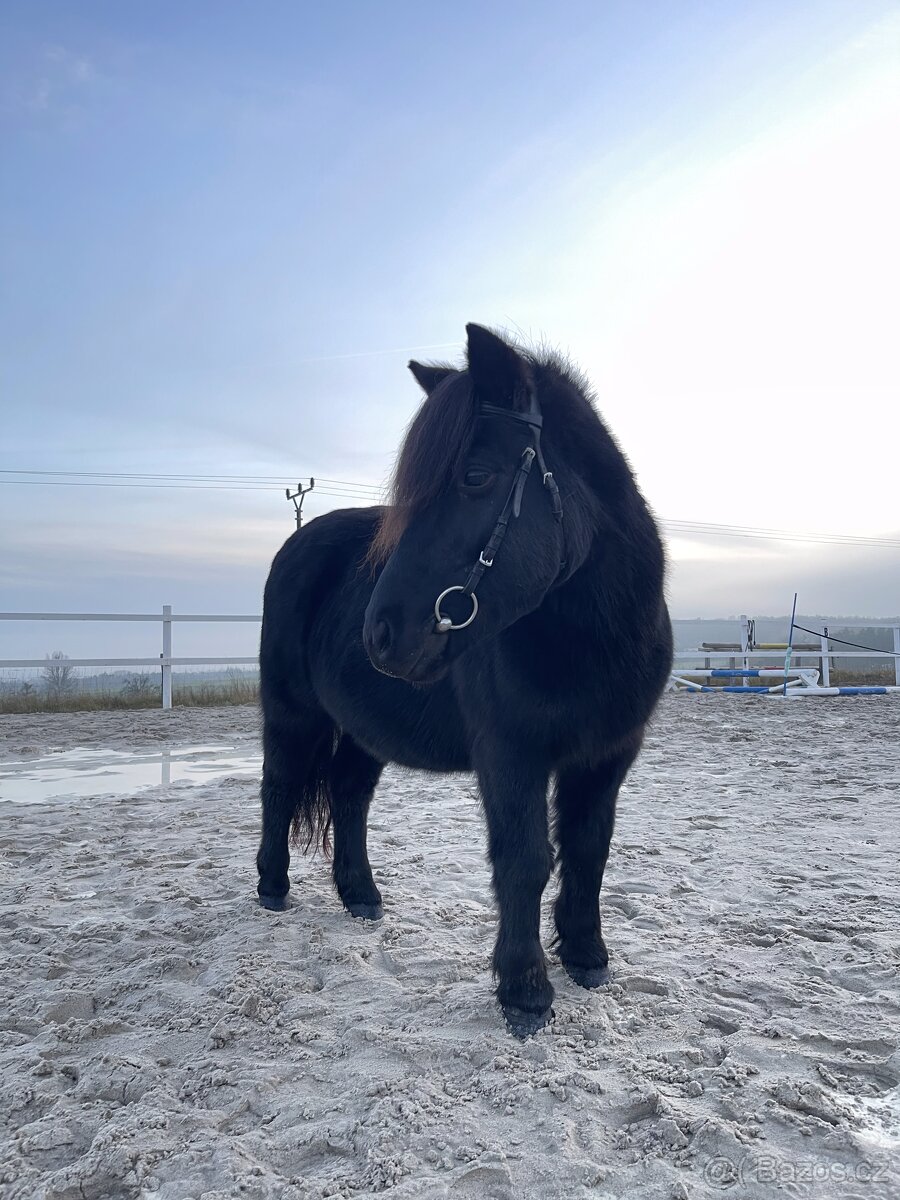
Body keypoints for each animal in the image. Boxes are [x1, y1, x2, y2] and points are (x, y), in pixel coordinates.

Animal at [256, 323, 672, 1036]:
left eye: (476, 477)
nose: (380, 632)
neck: (595, 639)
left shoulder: (608, 755)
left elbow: (588, 850)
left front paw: (587, 957)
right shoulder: (511, 754)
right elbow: (525, 859)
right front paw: (525, 990)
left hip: (364, 730)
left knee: (347, 793)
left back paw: (361, 896)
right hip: (292, 714)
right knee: (280, 789)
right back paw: (272, 890)